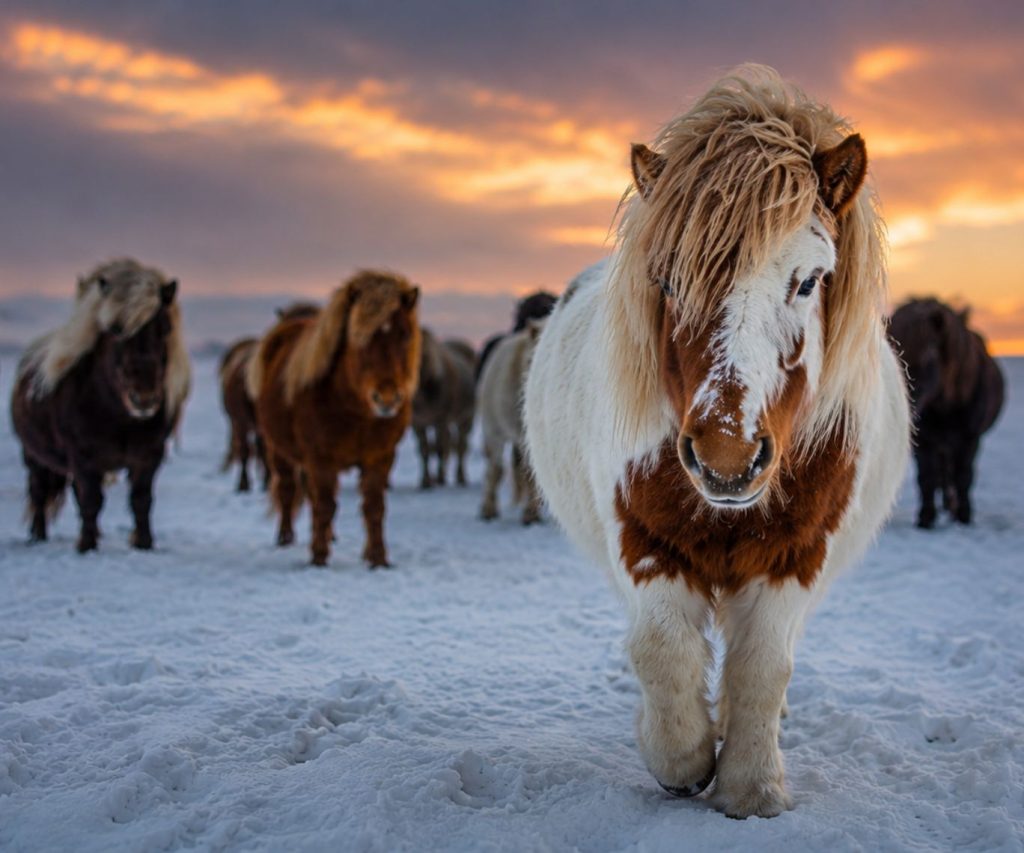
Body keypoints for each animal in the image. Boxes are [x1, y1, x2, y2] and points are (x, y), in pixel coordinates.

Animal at [11, 265, 190, 552]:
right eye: (116, 330)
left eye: (165, 329)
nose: (144, 399)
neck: (117, 417)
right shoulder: (83, 458)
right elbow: (91, 501)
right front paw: (86, 546)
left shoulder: (149, 456)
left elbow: (141, 500)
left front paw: (143, 543)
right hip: (34, 456)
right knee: (38, 492)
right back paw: (38, 536)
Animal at [249, 271, 420, 567]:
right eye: (358, 336)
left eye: (405, 334)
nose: (387, 399)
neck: (357, 411)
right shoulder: (321, 459)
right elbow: (325, 505)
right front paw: (319, 558)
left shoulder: (380, 458)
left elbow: (374, 507)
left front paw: (377, 558)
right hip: (279, 450)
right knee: (288, 490)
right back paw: (286, 538)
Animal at [412, 328, 476, 488]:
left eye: (425, 355)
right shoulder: (418, 423)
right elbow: (424, 450)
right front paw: (425, 481)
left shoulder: (441, 419)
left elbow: (440, 448)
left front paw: (440, 479)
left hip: (467, 417)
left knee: (461, 447)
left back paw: (460, 477)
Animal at [524, 66, 910, 818]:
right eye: (669, 280)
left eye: (809, 279)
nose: (726, 458)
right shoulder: (641, 538)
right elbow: (661, 649)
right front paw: (679, 757)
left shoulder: (797, 554)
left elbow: (763, 664)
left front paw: (751, 788)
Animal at [888, 298, 1004, 528]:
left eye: (928, 358)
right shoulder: (925, 440)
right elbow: (926, 477)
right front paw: (926, 517)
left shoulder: (970, 439)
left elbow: (963, 476)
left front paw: (964, 515)